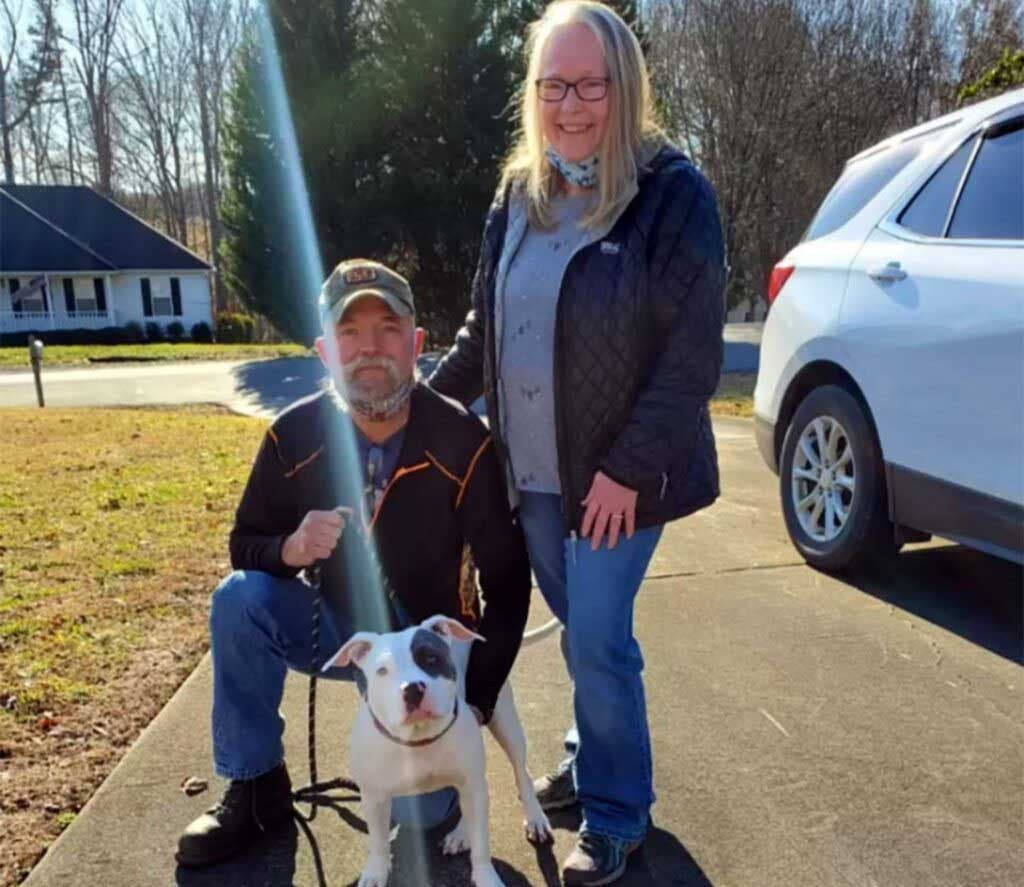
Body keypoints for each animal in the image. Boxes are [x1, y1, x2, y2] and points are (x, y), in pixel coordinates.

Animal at [325, 610, 552, 884]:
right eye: (382, 671)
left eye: (430, 658)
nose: (413, 688)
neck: (419, 739)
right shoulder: (373, 797)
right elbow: (378, 842)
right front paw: (375, 873)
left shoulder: (472, 782)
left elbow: (482, 846)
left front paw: (486, 878)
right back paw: (462, 833)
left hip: (504, 722)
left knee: (520, 773)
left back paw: (533, 818)